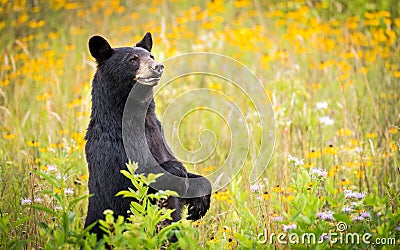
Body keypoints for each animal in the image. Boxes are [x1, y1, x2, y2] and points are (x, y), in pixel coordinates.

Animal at [85, 32, 212, 239]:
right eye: (132, 59)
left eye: (150, 56)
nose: (158, 66)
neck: (142, 122)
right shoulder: (112, 151)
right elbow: (126, 186)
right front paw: (176, 170)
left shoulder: (159, 135)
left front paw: (198, 204)